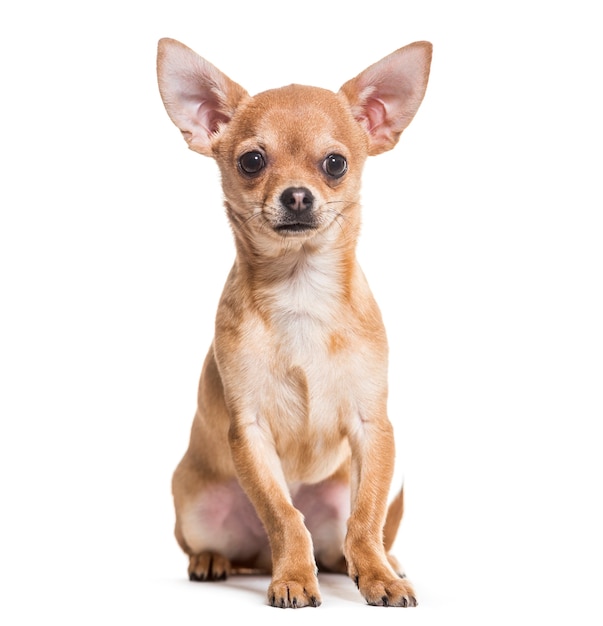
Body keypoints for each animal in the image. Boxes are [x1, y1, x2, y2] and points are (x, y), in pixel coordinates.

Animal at [156, 37, 430, 604]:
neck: (301, 290)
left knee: (348, 538)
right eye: (252, 161)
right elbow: (284, 515)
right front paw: (294, 578)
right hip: (195, 506)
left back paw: (377, 562)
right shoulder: (250, 433)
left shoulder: (373, 428)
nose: (298, 194)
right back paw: (216, 561)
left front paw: (377, 577)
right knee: (231, 542)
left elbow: (365, 518)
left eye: (335, 163)